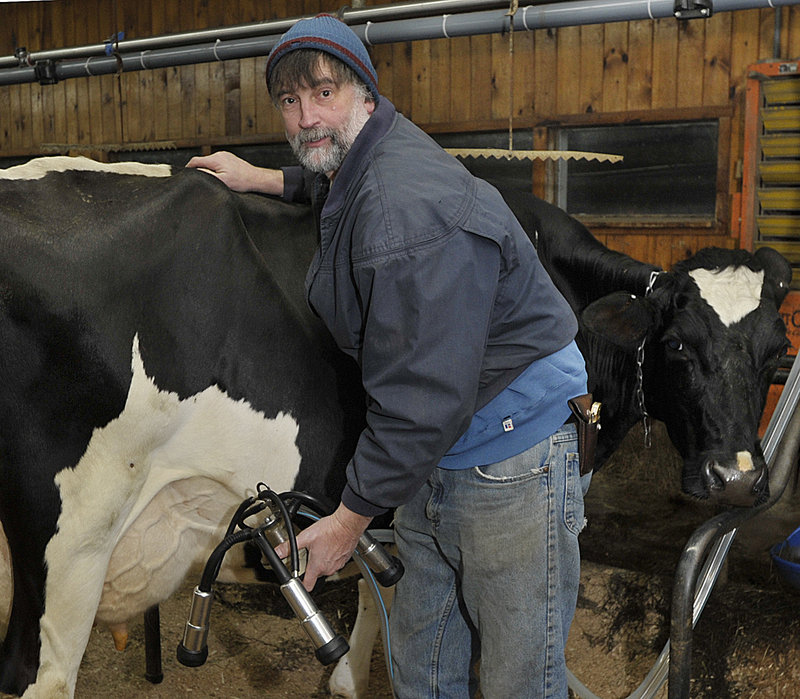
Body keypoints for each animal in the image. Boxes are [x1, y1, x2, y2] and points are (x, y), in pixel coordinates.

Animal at [0, 159, 788, 699]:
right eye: (678, 344)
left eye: (777, 352)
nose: (737, 476)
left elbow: (383, 599)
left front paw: (347, 674)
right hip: (69, 547)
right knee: (38, 673)